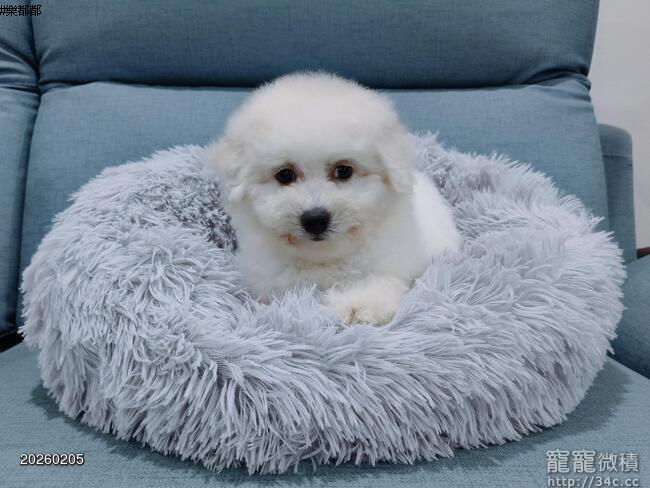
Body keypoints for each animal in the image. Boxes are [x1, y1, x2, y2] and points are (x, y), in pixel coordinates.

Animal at [206, 72, 461, 325]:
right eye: (285, 174)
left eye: (343, 170)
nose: (315, 219)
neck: (325, 258)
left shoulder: (393, 262)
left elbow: (378, 283)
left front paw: (358, 306)